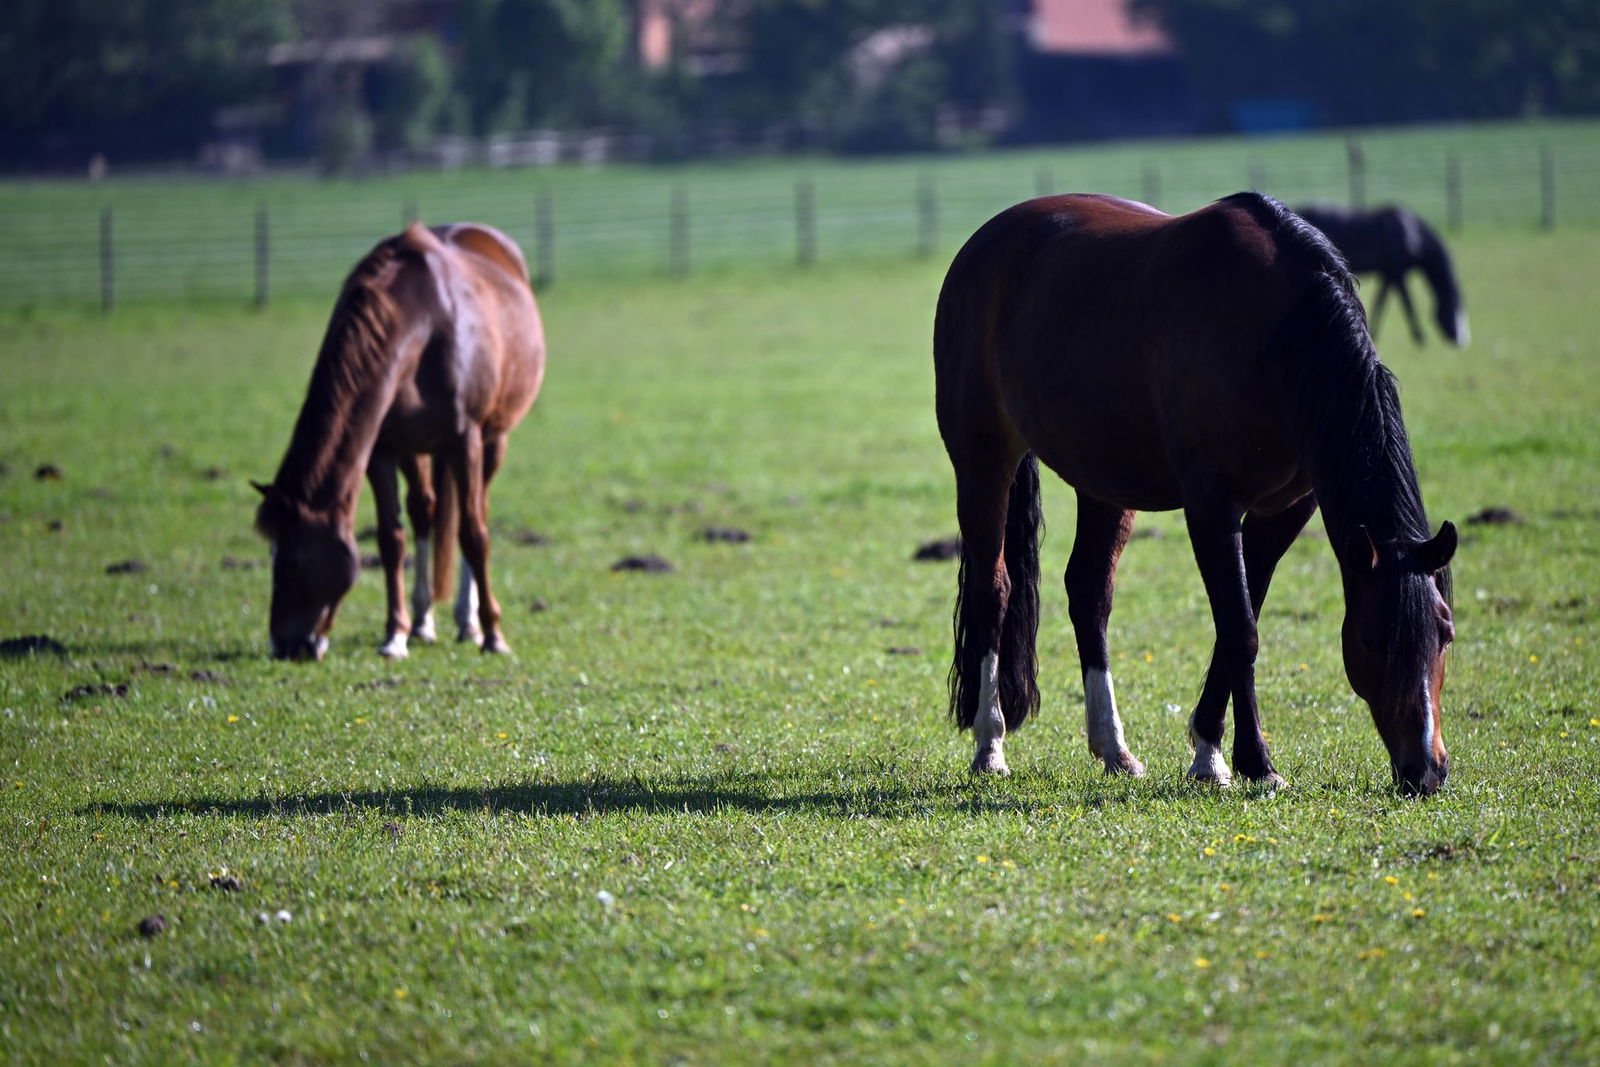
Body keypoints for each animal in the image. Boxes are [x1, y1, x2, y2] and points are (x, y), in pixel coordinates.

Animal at [253, 222, 545, 661]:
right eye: (272, 556)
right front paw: (396, 634)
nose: (284, 647)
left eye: (294, 561)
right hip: (417, 448)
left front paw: (494, 635)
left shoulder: (466, 441)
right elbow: (392, 540)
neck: (427, 323)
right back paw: (424, 622)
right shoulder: (382, 449)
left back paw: (469, 622)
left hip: (493, 440)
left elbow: (473, 535)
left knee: (476, 511)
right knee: (425, 509)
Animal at [1293, 203, 1469, 348]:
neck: (1412, 235)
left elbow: (1381, 302)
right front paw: (1420, 338)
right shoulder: (1398, 274)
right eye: (1454, 306)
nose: (1462, 342)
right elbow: (1407, 304)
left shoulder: (1388, 274)